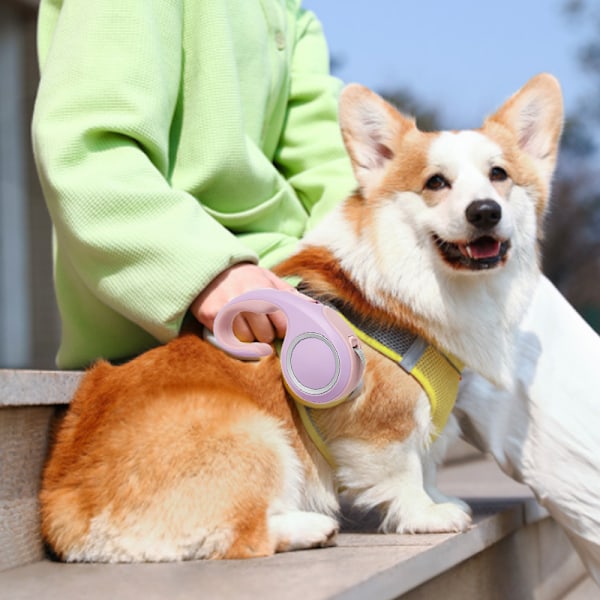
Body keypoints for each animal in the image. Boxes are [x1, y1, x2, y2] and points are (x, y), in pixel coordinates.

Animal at [41, 74, 564, 564]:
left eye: (499, 174)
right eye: (436, 182)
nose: (485, 212)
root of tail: (63, 506)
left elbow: (430, 461)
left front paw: (440, 498)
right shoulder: (383, 426)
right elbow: (405, 472)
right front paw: (427, 515)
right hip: (259, 437)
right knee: (241, 536)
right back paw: (309, 528)